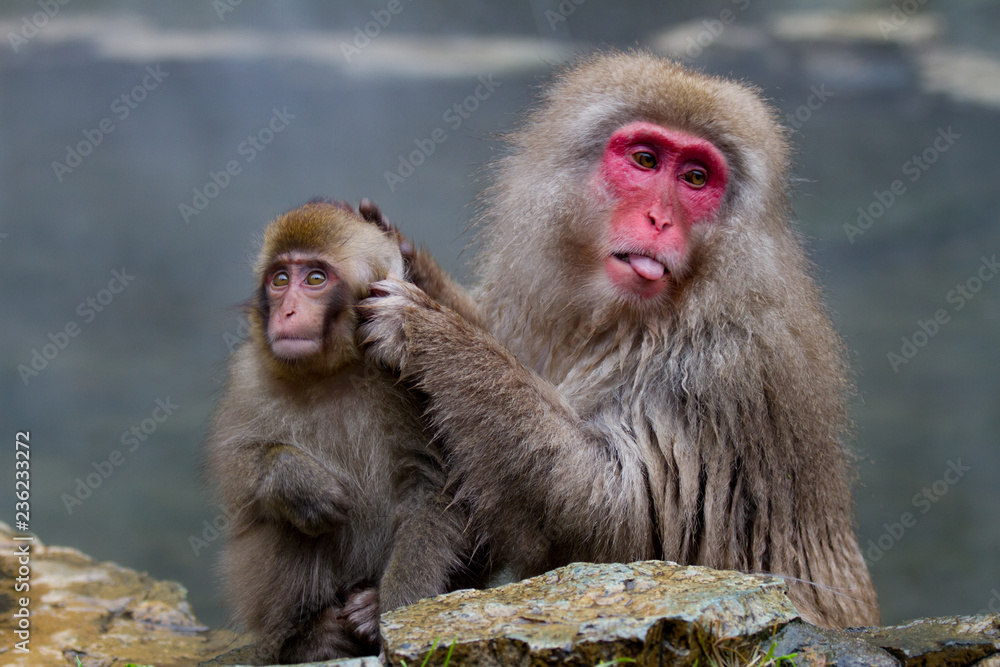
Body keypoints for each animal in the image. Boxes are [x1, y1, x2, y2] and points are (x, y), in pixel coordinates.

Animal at [205, 199, 470, 663]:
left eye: (315, 279)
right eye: (279, 280)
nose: (287, 311)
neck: (330, 373)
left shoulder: (405, 377)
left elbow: (434, 488)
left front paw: (390, 615)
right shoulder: (248, 376)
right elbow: (235, 471)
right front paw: (296, 481)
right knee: (290, 520)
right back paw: (309, 638)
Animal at [359, 51, 880, 629]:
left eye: (695, 177)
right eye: (646, 160)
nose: (660, 219)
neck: (634, 318)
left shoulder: (729, 365)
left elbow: (624, 523)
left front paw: (434, 337)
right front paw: (417, 270)